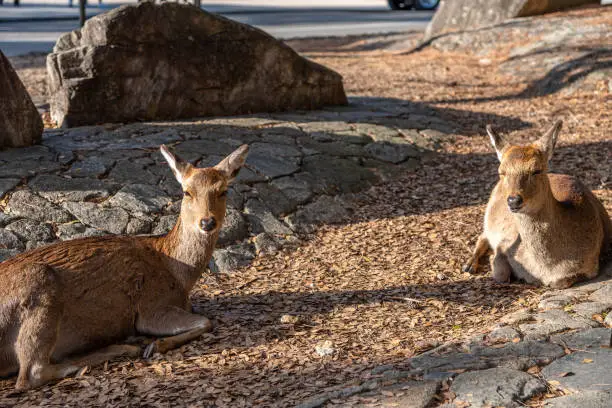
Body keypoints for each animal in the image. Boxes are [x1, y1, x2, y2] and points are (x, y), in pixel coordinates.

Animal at [0, 143, 249, 388]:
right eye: (187, 192)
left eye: (223, 191)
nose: (207, 222)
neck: (176, 273)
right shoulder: (151, 306)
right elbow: (206, 321)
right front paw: (155, 345)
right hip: (39, 281)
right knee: (31, 374)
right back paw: (123, 348)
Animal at [466, 119, 608, 288]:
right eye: (502, 172)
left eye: (536, 170)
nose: (514, 200)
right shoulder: (505, 244)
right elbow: (500, 274)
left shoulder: (591, 265)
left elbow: (561, 282)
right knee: (482, 235)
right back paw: (469, 265)